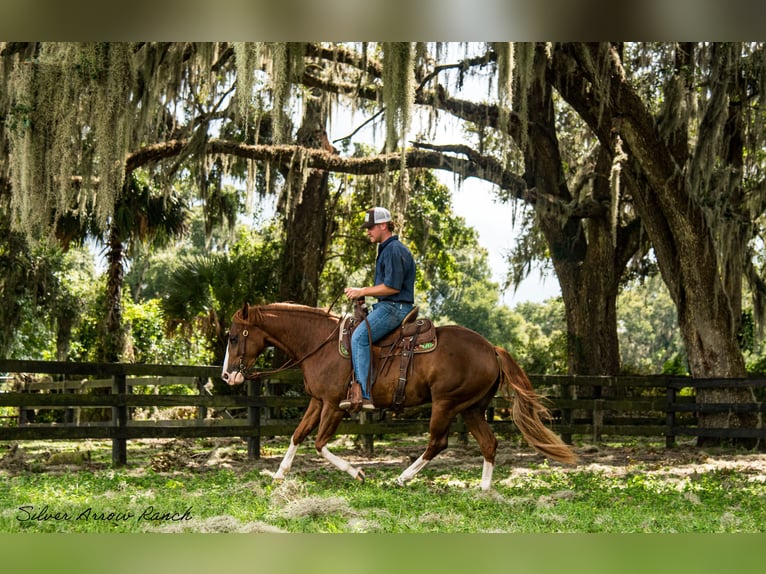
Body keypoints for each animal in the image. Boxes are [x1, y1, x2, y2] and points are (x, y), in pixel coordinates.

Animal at [222, 302, 576, 490]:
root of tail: (492, 348)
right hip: (472, 408)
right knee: (489, 443)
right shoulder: (317, 401)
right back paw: (484, 488)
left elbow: (320, 443)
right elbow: (297, 434)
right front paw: (279, 474)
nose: (227, 375)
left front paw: (358, 472)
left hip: (446, 404)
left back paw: (402, 478)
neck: (319, 343)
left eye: (233, 337)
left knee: (438, 443)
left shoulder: (335, 406)